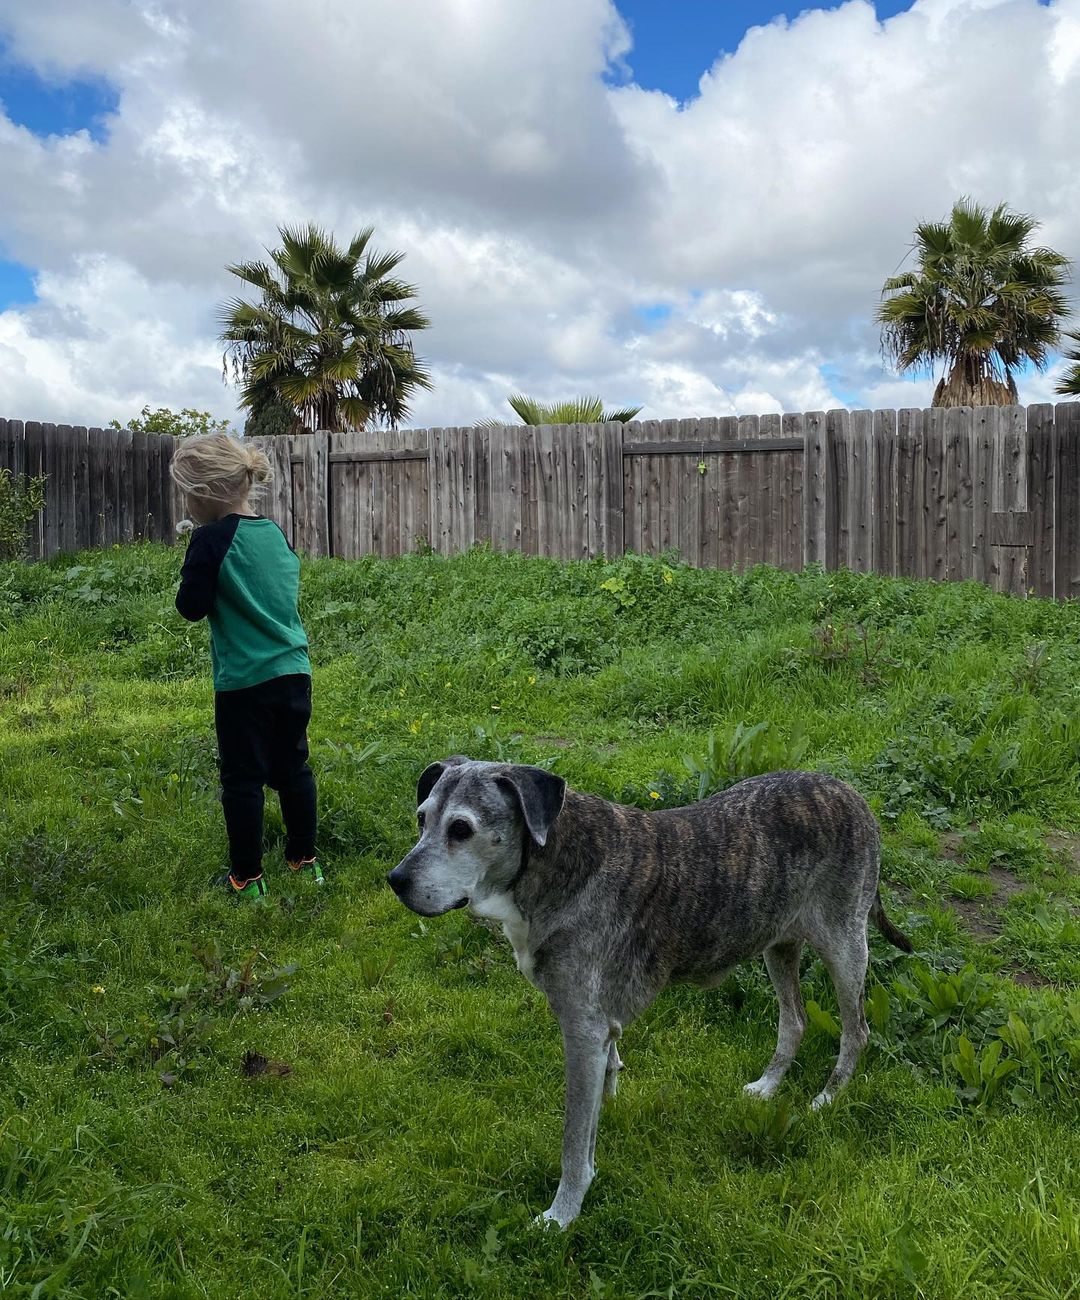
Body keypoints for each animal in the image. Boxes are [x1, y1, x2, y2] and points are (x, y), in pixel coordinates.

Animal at [389, 759, 914, 1222]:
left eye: (461, 829)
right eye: (421, 819)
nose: (395, 881)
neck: (555, 860)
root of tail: (852, 795)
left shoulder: (581, 1032)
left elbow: (573, 1141)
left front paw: (561, 1215)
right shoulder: (597, 1029)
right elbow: (604, 1086)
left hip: (845, 948)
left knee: (856, 1031)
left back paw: (827, 1098)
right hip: (778, 944)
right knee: (796, 1019)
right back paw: (767, 1086)